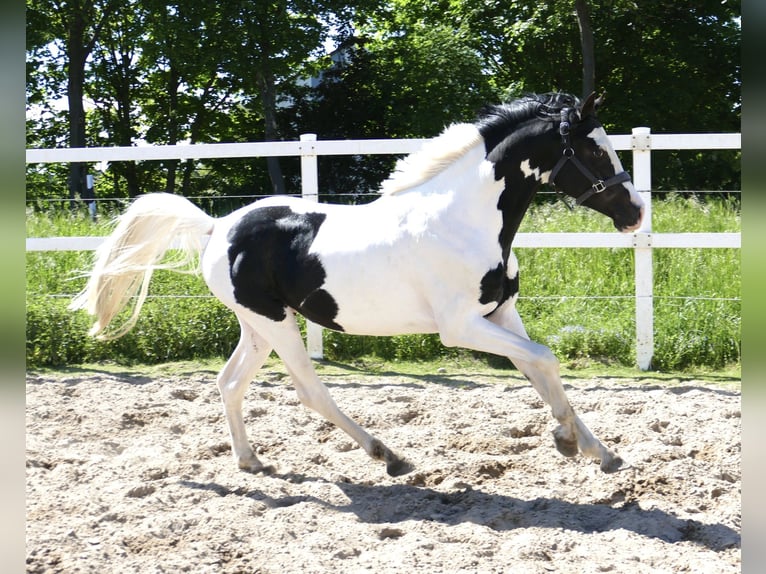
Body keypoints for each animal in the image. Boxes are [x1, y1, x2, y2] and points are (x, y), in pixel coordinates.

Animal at [73, 94, 648, 480]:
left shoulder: (501, 314)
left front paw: (597, 450)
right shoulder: (460, 327)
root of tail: (218, 227)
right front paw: (567, 440)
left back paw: (251, 461)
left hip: (259, 325)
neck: (463, 220)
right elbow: (547, 360)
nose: (637, 213)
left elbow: (540, 370)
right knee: (310, 391)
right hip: (275, 324)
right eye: (596, 153)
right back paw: (389, 457)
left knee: (230, 383)